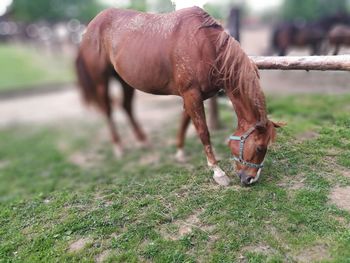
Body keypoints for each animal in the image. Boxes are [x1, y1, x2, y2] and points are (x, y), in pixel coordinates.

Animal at [76, 6, 282, 188]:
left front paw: (180, 152)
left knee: (126, 106)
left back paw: (143, 141)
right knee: (107, 110)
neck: (206, 46)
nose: (250, 179)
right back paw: (119, 147)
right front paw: (217, 172)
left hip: (124, 81)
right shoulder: (191, 94)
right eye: (259, 147)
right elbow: (203, 131)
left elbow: (185, 120)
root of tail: (91, 26)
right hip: (101, 81)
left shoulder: (195, 96)